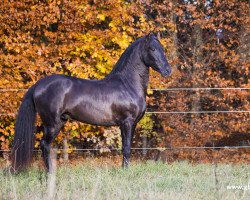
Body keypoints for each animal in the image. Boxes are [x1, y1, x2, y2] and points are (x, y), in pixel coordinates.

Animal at [10, 32, 171, 172]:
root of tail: (38, 85)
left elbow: (127, 147)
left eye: (162, 48)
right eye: (152, 49)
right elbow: (126, 148)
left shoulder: (131, 124)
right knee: (45, 145)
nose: (168, 70)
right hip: (52, 124)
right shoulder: (127, 122)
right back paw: (49, 173)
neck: (127, 84)